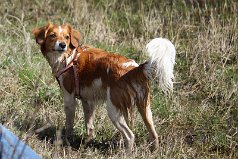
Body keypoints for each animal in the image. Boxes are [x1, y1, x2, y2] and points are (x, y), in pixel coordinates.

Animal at [33, 22, 175, 153]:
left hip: (113, 109)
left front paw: (67, 142)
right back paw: (154, 151)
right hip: (145, 108)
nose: (62, 45)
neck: (68, 57)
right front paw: (88, 143)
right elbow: (89, 125)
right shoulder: (87, 101)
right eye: (52, 35)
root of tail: (135, 68)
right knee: (153, 134)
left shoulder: (69, 98)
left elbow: (69, 125)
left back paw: (127, 153)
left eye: (67, 37)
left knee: (130, 135)